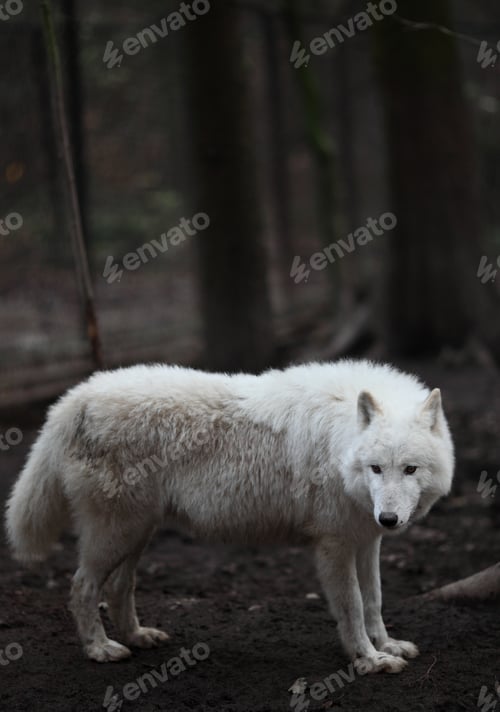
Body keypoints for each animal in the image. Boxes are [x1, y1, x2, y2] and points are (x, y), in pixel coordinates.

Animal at [5, 360, 454, 671]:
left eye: (410, 469)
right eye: (376, 468)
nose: (390, 519)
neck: (339, 443)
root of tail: (77, 396)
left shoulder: (365, 539)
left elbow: (375, 600)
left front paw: (387, 645)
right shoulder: (335, 545)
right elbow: (354, 607)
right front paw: (369, 659)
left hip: (136, 532)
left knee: (118, 586)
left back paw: (136, 636)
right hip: (116, 533)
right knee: (82, 587)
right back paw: (99, 649)